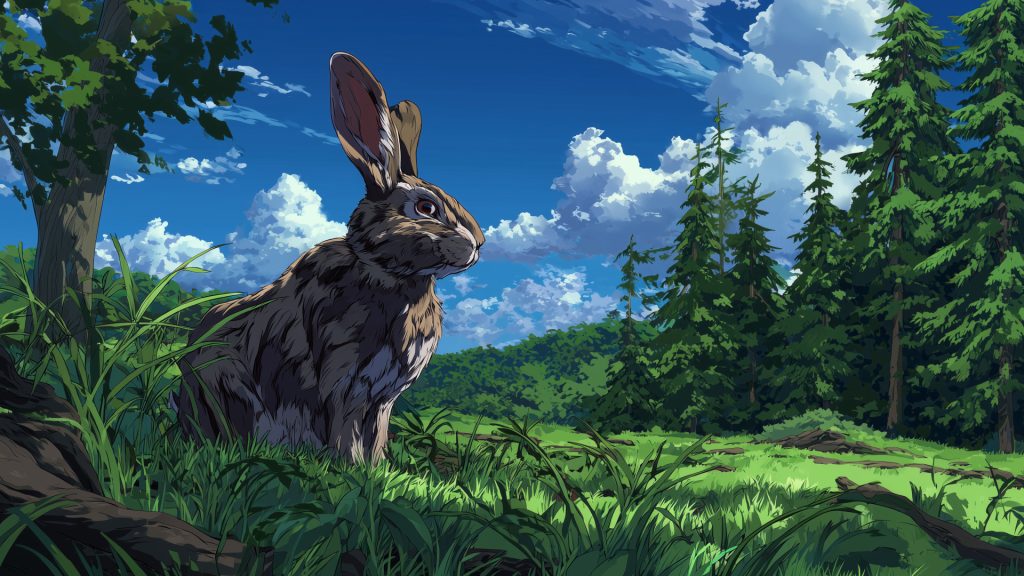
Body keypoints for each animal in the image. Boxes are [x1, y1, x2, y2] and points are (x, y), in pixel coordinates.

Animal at [173, 52, 485, 465]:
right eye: (425, 207)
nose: (479, 243)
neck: (387, 273)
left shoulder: (381, 400)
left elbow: (376, 434)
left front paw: (378, 468)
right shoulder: (344, 381)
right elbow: (346, 431)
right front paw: (352, 468)